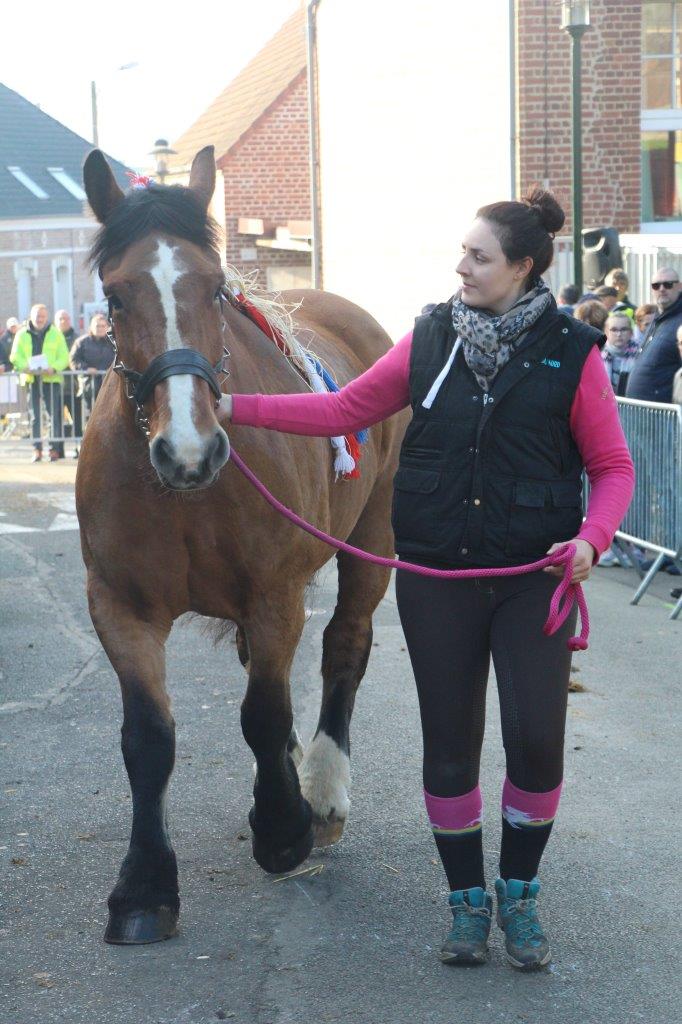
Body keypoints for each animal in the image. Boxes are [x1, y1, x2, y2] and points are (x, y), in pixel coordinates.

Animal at [75, 146, 403, 942]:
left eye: (216, 286)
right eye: (116, 294)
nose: (188, 450)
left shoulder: (274, 595)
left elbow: (264, 714)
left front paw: (284, 829)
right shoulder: (120, 606)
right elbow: (148, 737)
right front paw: (144, 887)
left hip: (372, 537)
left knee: (345, 645)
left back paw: (320, 790)